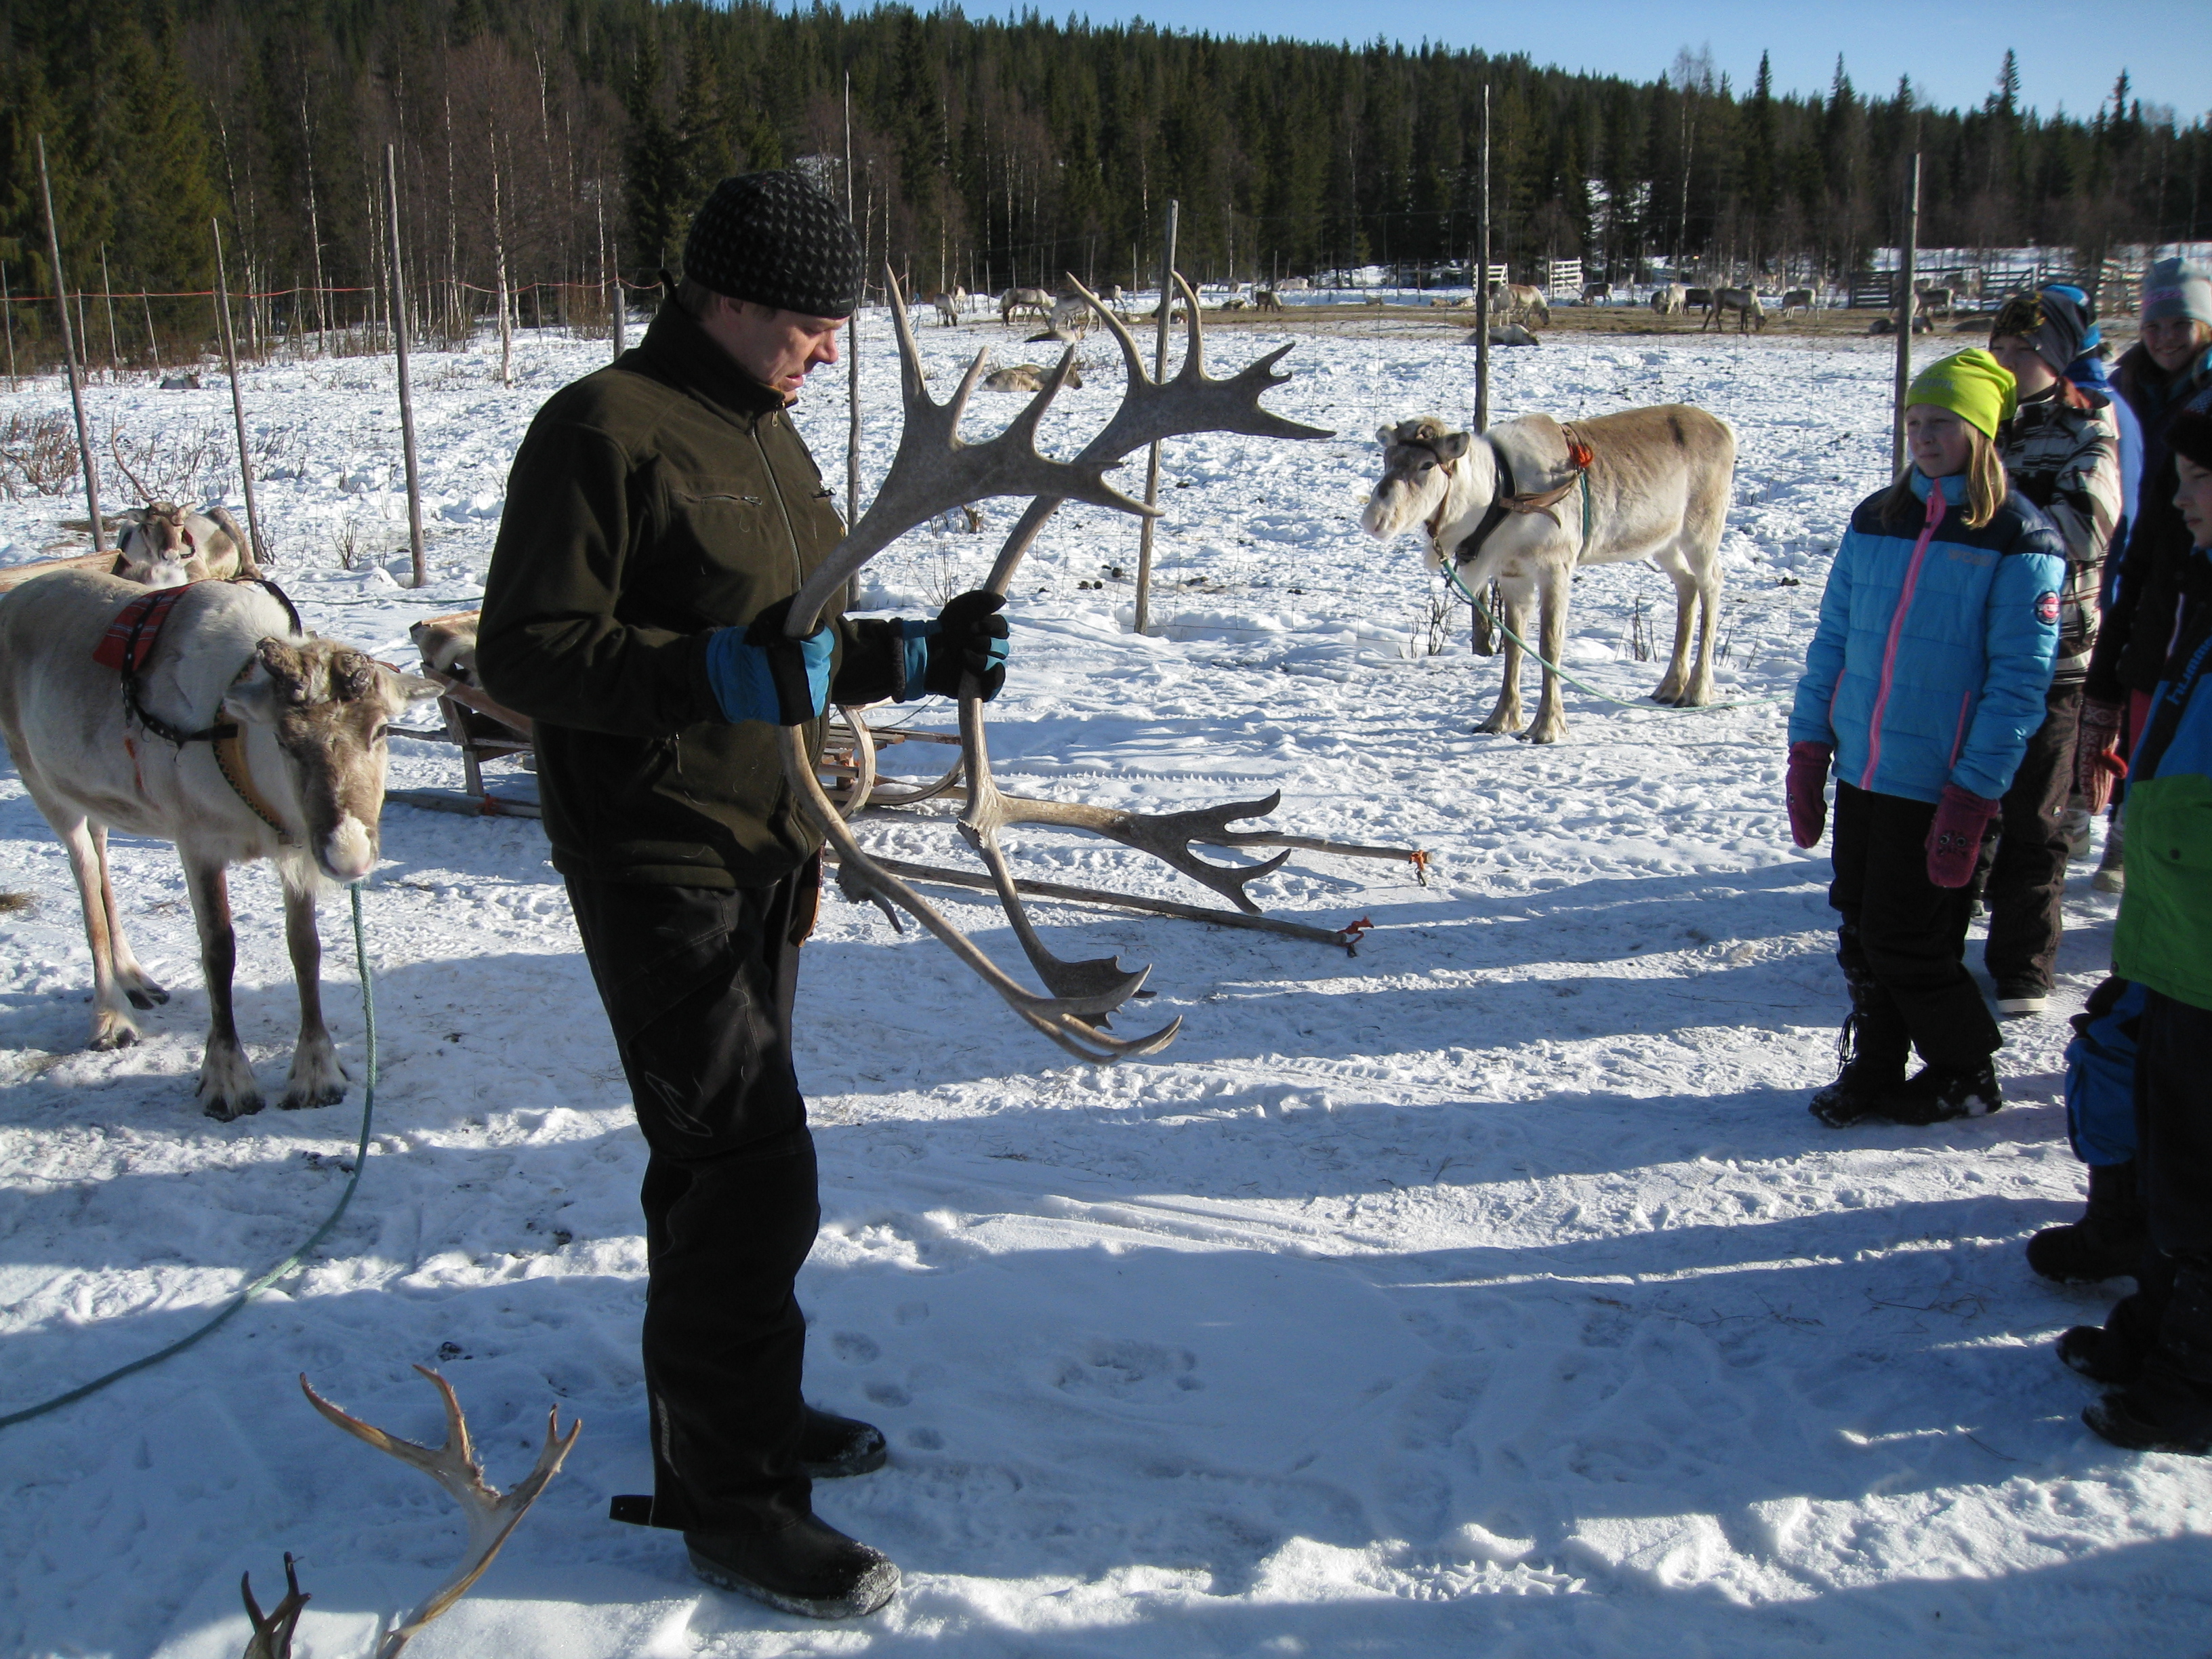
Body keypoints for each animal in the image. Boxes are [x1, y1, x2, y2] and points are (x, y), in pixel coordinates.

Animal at [0, 569, 438, 1116]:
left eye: (381, 730)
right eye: (284, 740)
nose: (348, 855)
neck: (237, 746)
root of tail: (16, 595)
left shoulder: (295, 851)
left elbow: (305, 947)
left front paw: (317, 1072)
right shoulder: (198, 843)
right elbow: (218, 951)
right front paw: (227, 1079)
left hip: (96, 799)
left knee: (100, 862)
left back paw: (135, 979)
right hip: (45, 788)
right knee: (86, 888)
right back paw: (111, 1016)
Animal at [1362, 405, 1736, 744]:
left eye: (1427, 465)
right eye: (1387, 458)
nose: (1373, 520)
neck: (1497, 494)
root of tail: (1725, 430)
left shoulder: (1555, 568)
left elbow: (1549, 646)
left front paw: (1546, 727)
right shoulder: (1512, 576)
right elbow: (1514, 646)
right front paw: (1500, 719)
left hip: (1701, 532)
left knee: (1712, 583)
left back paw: (1697, 690)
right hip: (1665, 543)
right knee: (1687, 585)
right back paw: (1670, 686)